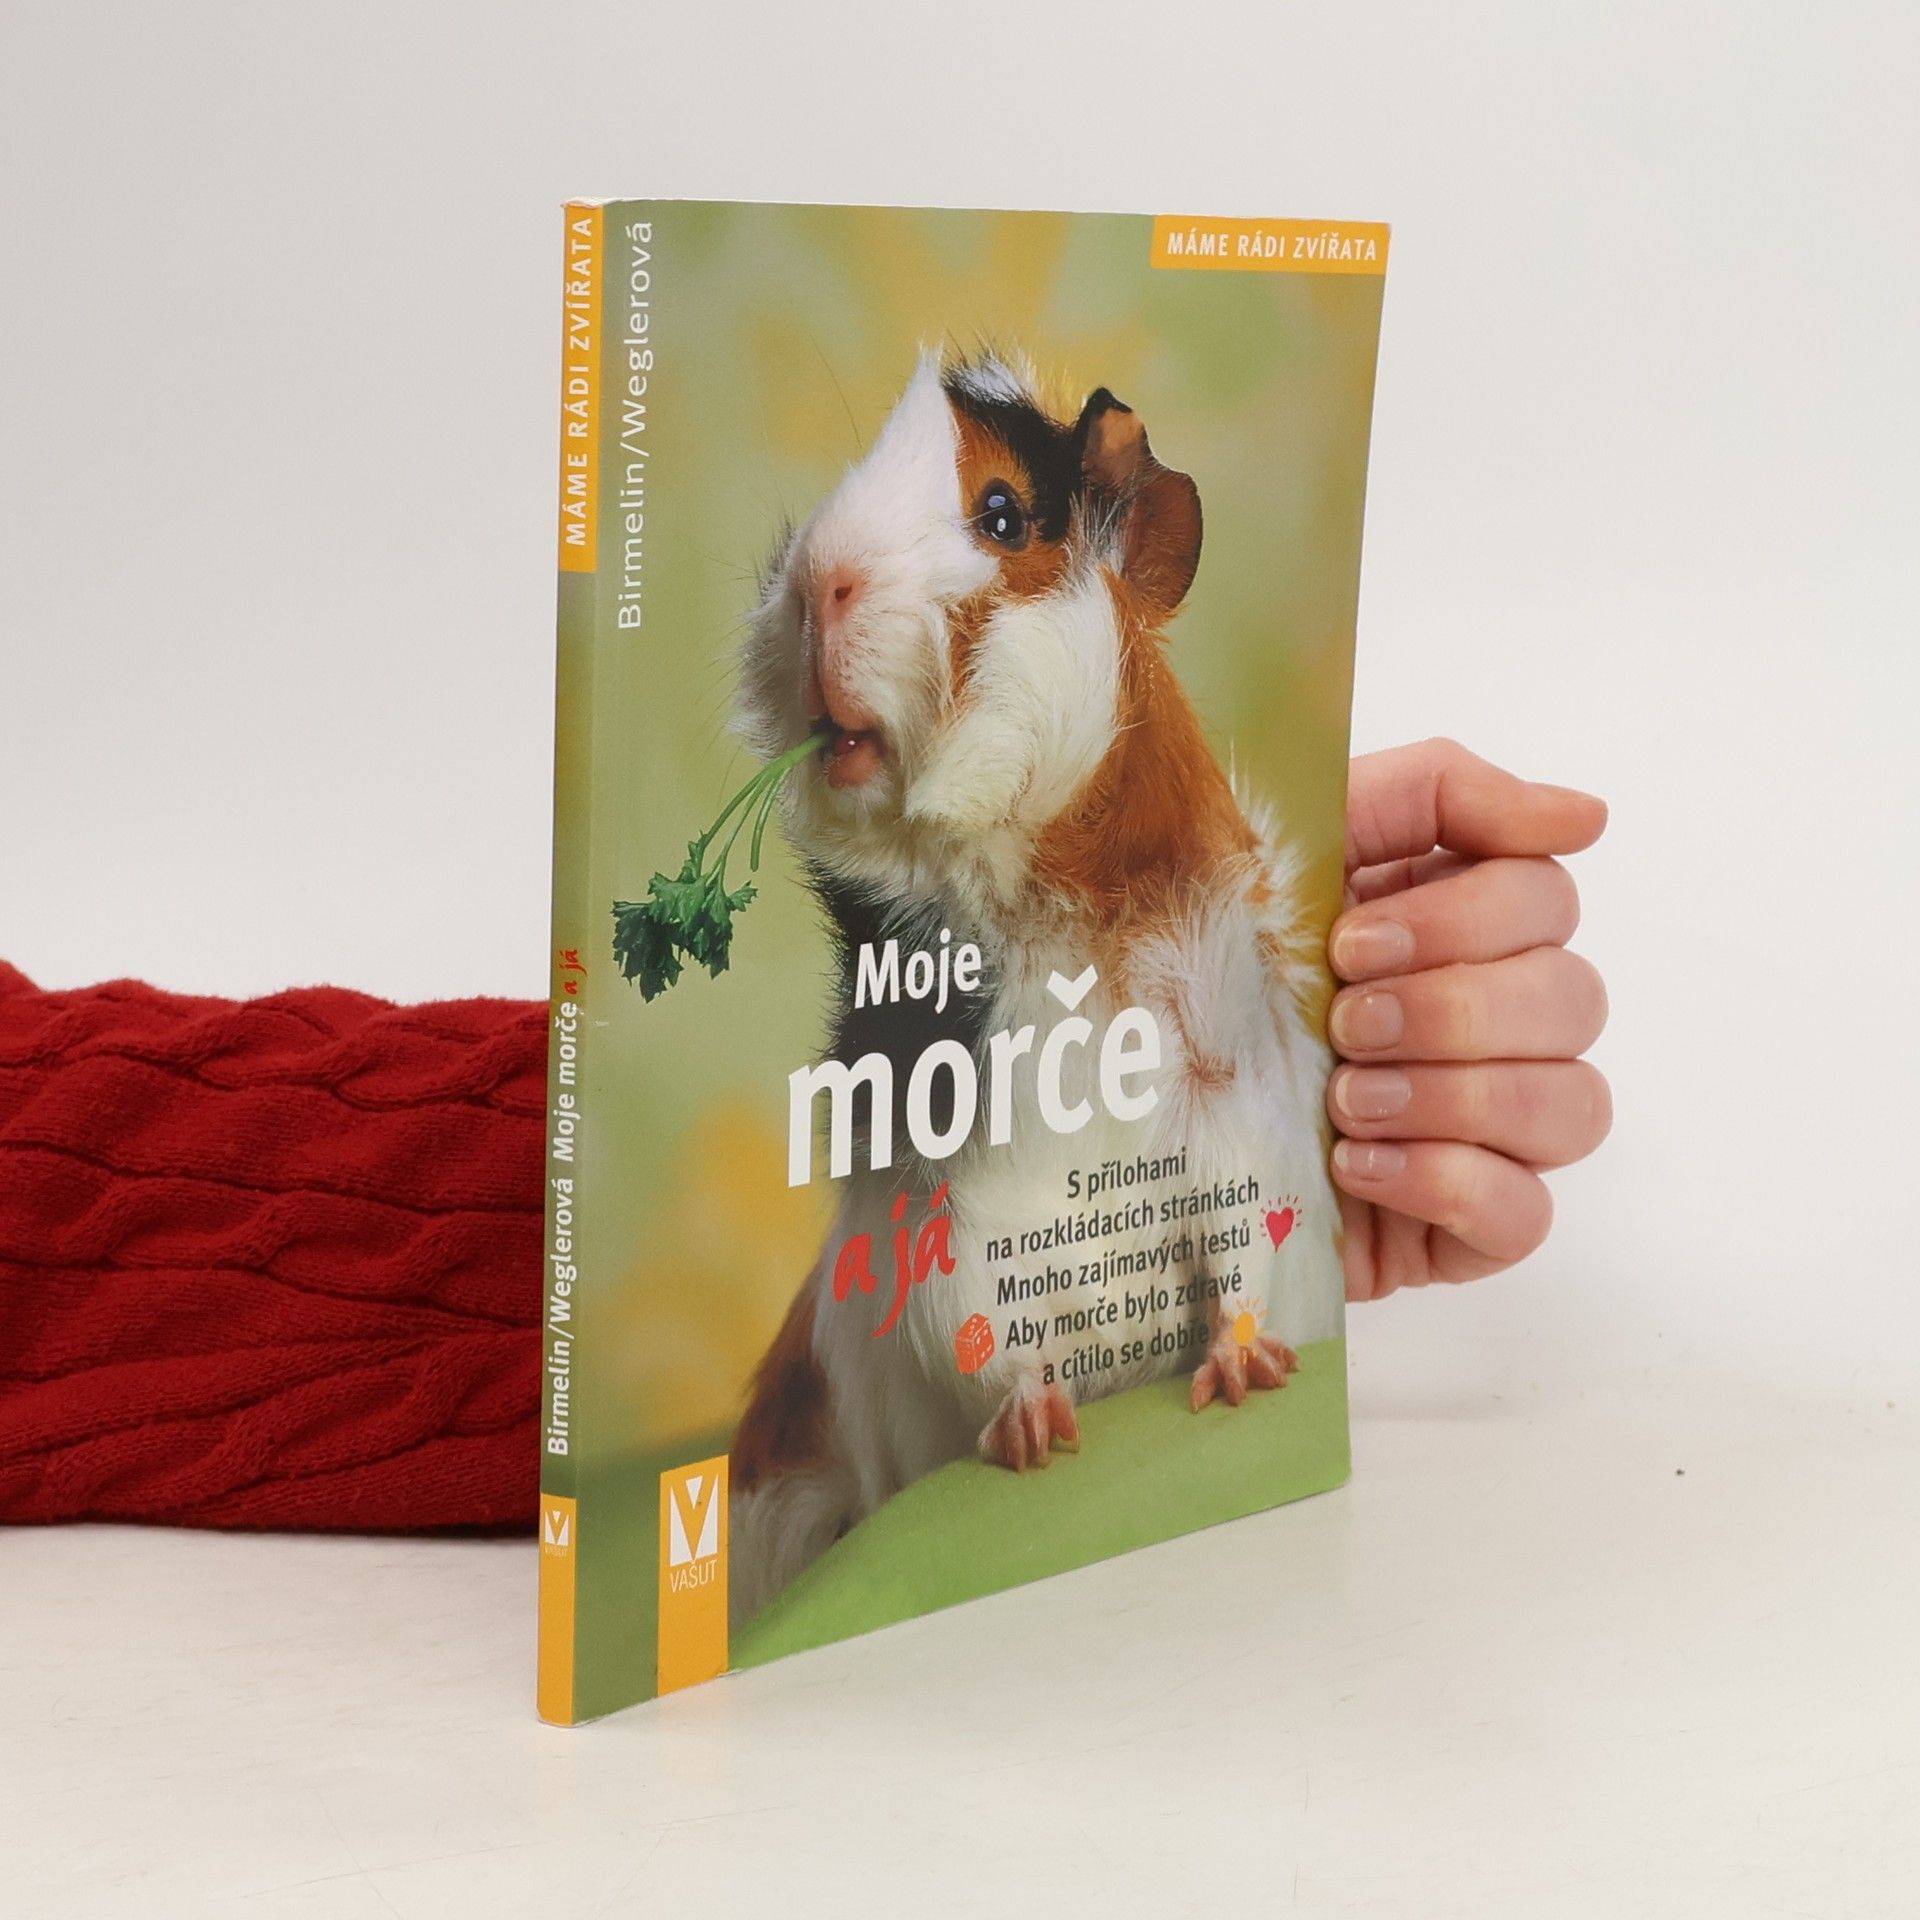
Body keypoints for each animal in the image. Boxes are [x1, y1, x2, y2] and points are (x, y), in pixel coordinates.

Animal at [727, 352, 1344, 1622]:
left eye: (1003, 512)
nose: (818, 581)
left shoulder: (1227, 1112)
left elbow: (1239, 1251)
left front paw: (1242, 1377)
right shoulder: (945, 1198)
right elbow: (980, 1329)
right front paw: (1036, 1438)